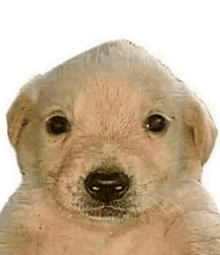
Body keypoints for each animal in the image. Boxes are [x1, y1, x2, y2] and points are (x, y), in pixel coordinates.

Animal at [0, 39, 220, 253]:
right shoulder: (20, 221)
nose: (107, 185)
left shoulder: (196, 220)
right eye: (57, 124)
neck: (107, 232)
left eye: (157, 122)